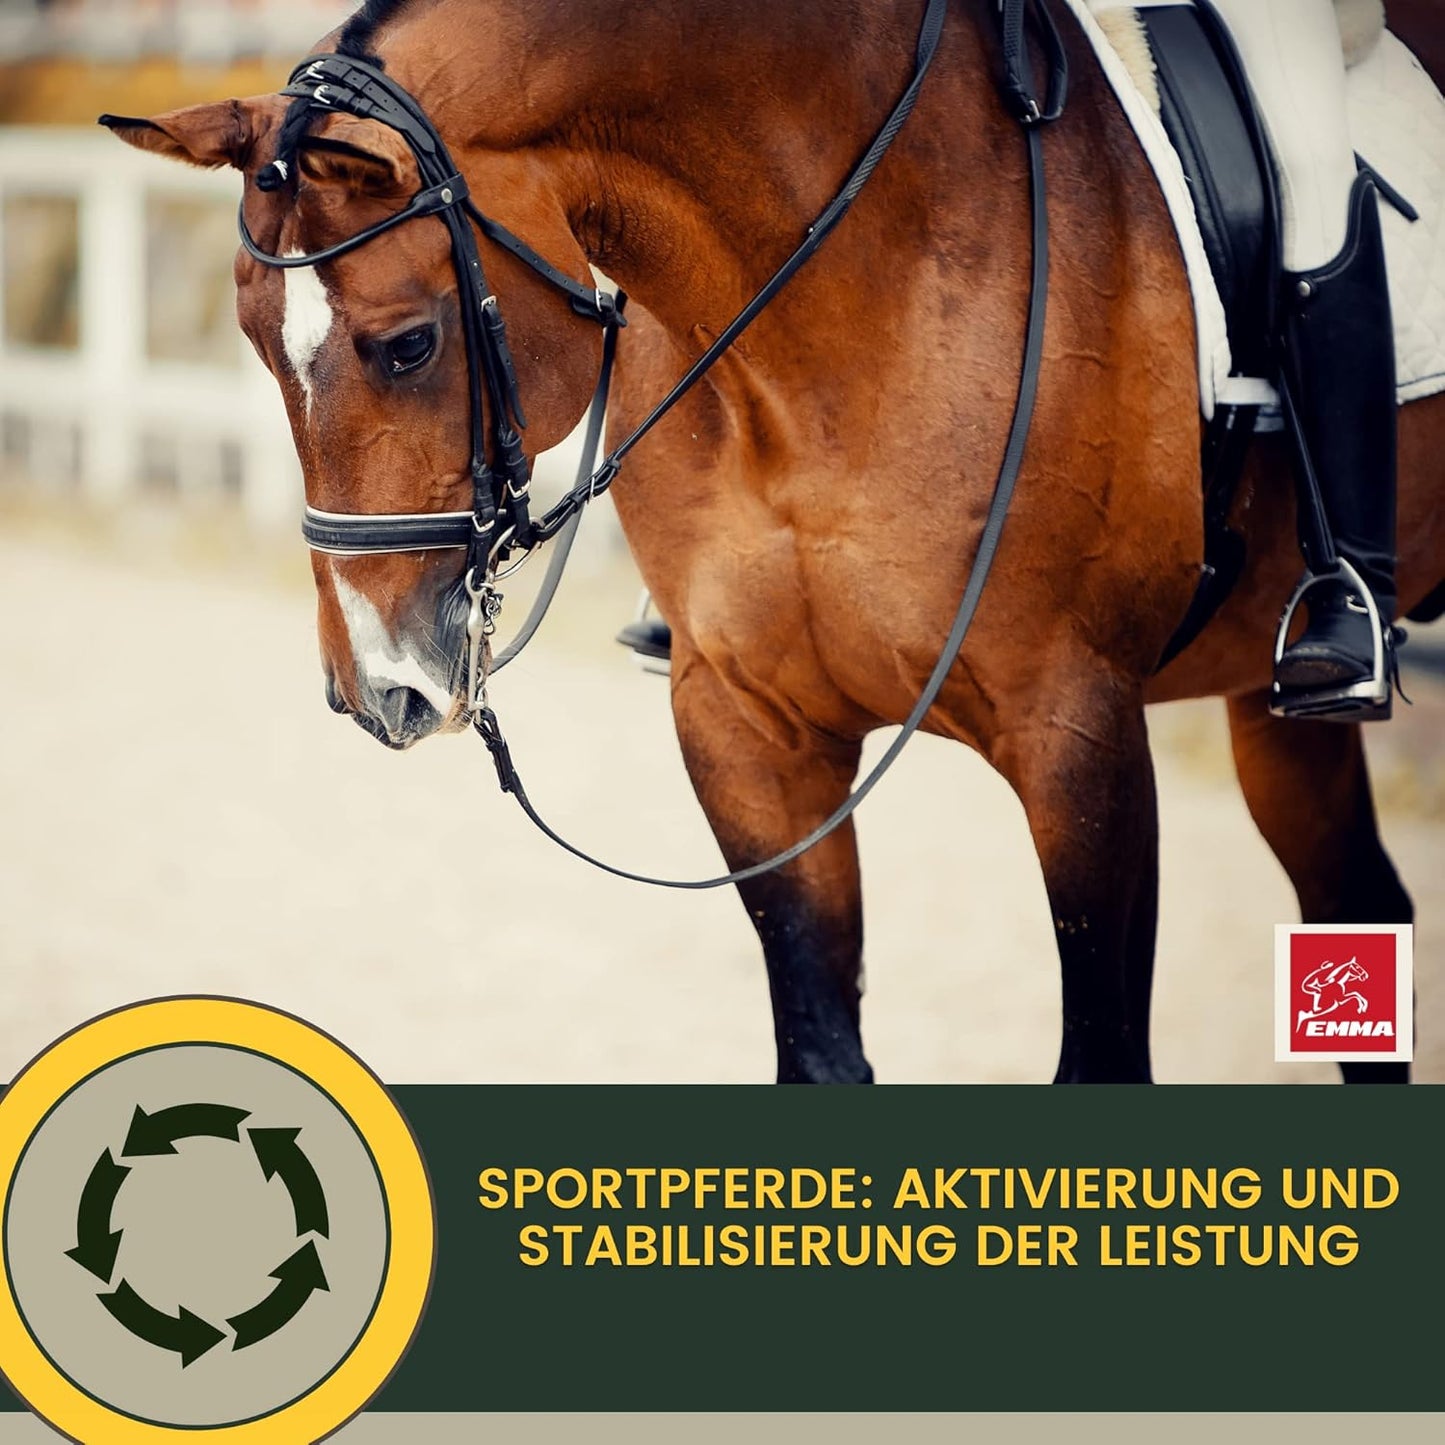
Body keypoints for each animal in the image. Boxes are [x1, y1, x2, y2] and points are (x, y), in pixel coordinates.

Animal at [104, 0, 1444, 1084]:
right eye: (253, 337)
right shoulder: (747, 725)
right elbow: (817, 1046)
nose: (376, 688)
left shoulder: (1078, 733)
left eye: (407, 344)